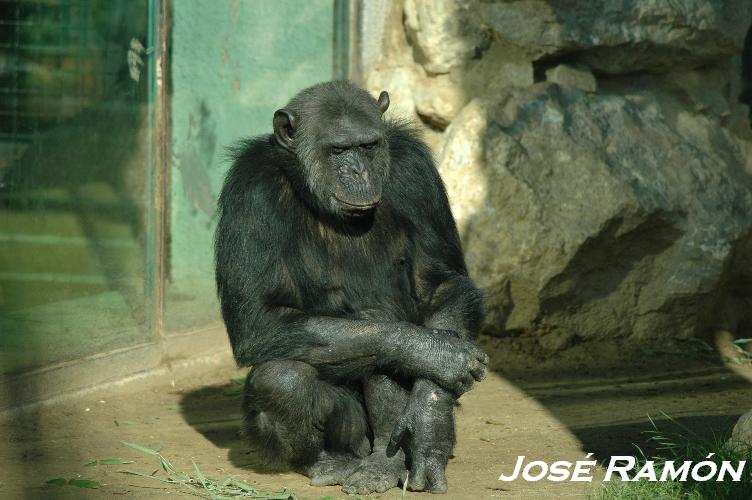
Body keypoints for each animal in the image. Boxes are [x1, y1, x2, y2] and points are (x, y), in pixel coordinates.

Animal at [216, 80, 488, 494]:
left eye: (368, 146)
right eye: (339, 150)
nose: (358, 171)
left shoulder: (416, 173)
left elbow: (440, 285)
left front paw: (430, 420)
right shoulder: (249, 192)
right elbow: (258, 320)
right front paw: (437, 353)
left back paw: (384, 463)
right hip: (348, 434)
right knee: (287, 378)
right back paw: (325, 463)